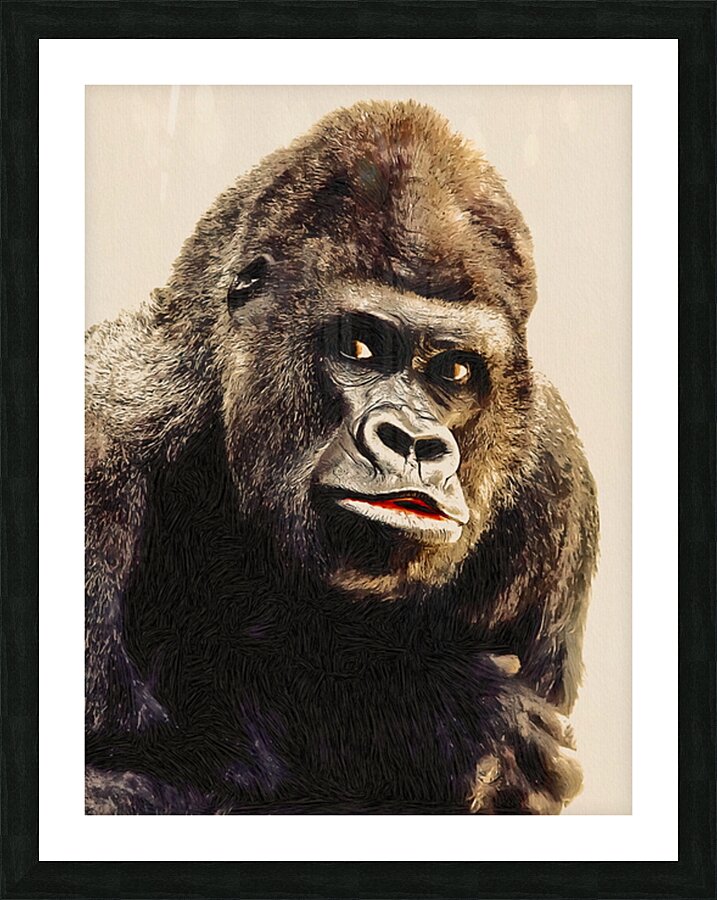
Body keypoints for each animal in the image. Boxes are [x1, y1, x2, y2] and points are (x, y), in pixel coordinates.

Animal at [85, 100, 598, 815]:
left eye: (455, 371)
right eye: (359, 346)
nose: (412, 442)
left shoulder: (555, 474)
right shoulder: (98, 436)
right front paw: (429, 715)